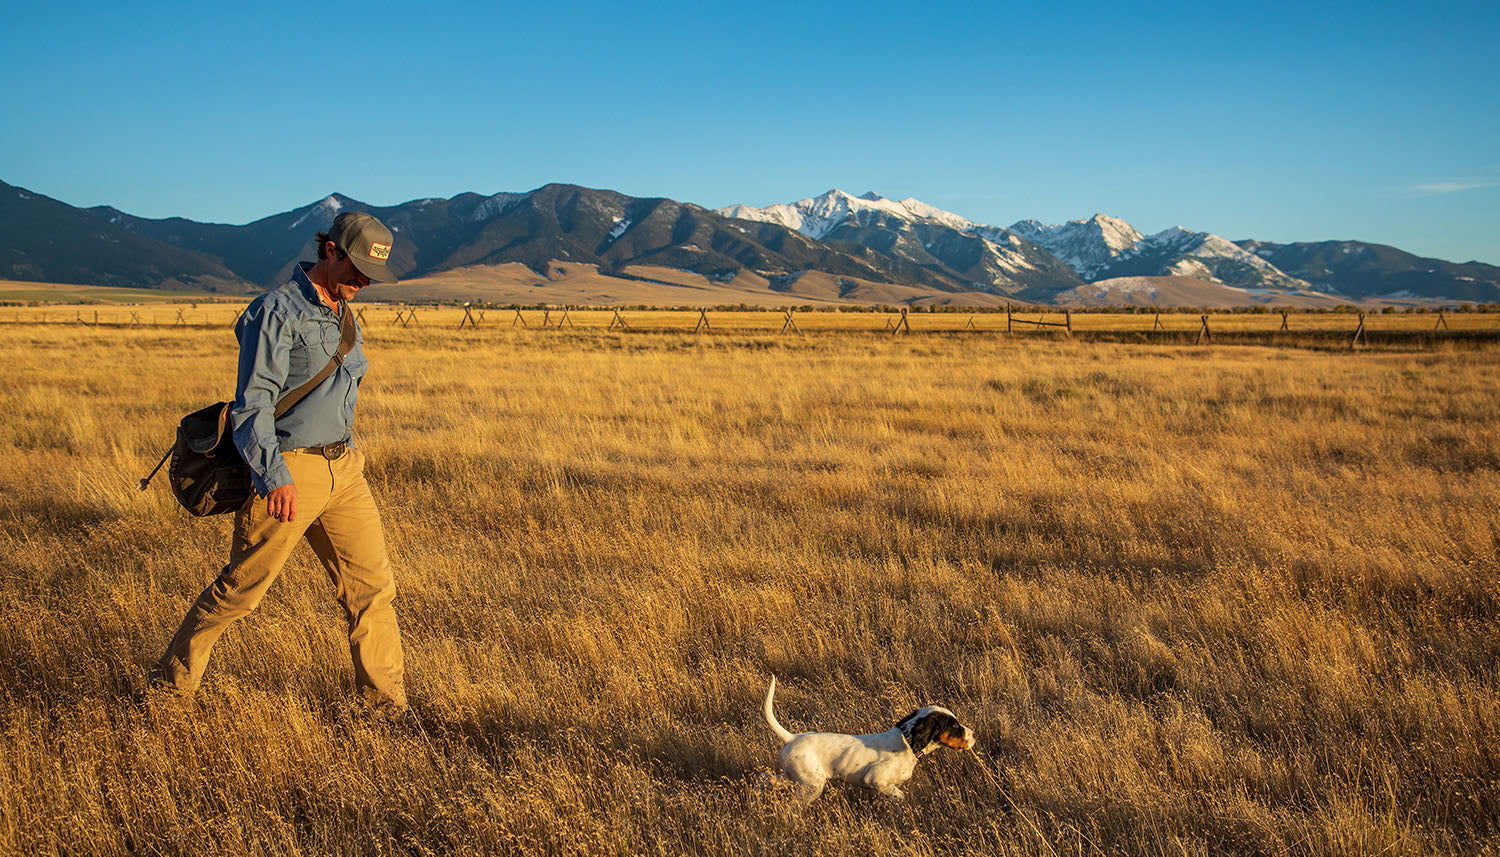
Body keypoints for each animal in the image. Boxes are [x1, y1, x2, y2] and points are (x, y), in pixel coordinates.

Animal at [762, 678, 972, 804]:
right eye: (954, 725)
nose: (973, 735)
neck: (907, 740)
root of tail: (792, 737)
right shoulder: (876, 778)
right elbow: (900, 797)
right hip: (811, 785)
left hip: (793, 776)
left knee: (764, 778)